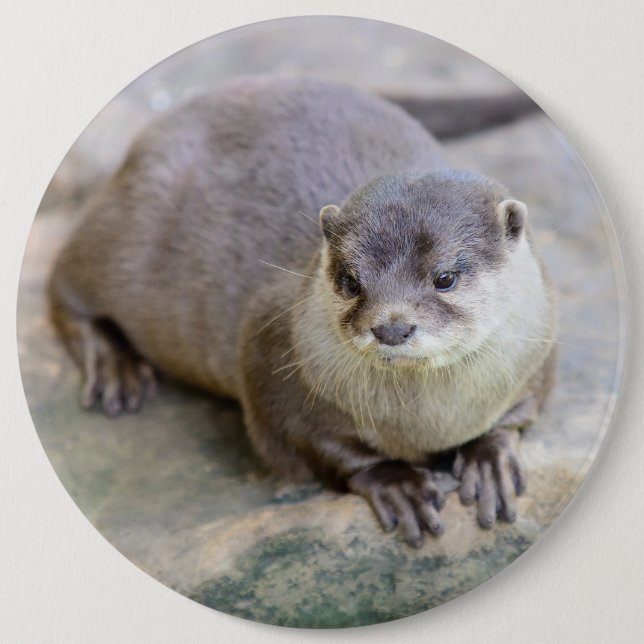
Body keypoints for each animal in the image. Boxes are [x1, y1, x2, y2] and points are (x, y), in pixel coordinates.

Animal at [48, 75, 556, 547]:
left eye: (445, 277)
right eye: (351, 280)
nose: (391, 327)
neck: (429, 424)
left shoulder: (541, 339)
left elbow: (523, 411)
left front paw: (490, 458)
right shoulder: (269, 353)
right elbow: (313, 447)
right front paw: (397, 483)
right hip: (125, 235)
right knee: (63, 284)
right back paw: (114, 365)